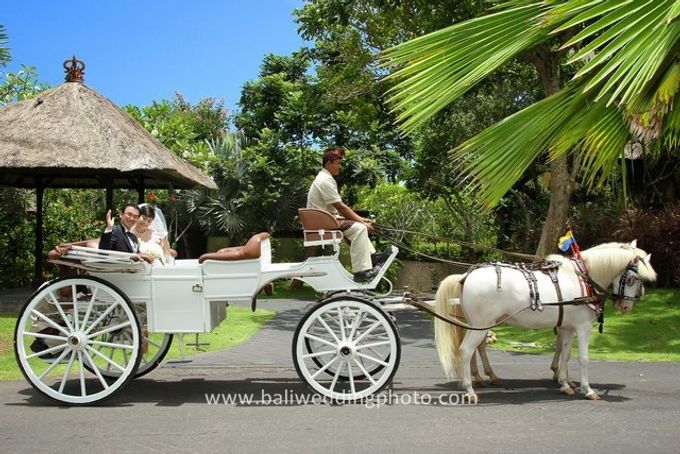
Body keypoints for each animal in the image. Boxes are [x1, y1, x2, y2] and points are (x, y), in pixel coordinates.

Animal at [436, 241, 652, 400]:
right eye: (633, 279)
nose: (626, 306)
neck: (582, 279)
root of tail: (465, 275)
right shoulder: (583, 327)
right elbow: (583, 358)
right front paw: (588, 389)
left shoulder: (567, 327)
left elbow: (565, 354)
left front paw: (565, 383)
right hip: (481, 325)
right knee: (466, 350)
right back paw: (470, 390)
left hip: (477, 324)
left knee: (475, 349)